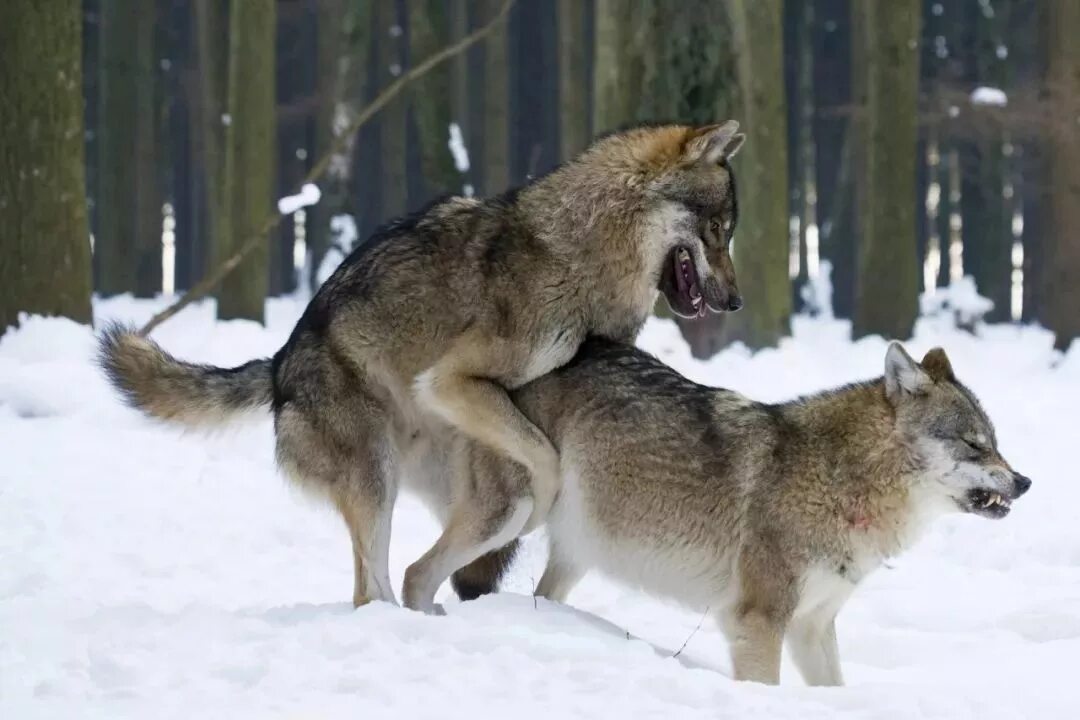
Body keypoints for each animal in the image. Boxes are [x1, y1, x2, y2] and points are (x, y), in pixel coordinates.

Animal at [97, 122, 747, 608]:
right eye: (717, 230)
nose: (737, 302)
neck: (580, 251)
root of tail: (278, 364)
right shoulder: (450, 381)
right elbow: (544, 460)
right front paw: (544, 504)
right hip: (375, 478)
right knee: (374, 585)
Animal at [406, 338, 1028, 686]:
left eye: (997, 443)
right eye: (975, 445)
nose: (1024, 482)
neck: (840, 479)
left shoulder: (813, 629)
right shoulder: (758, 621)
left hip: (575, 551)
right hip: (512, 516)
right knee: (417, 572)